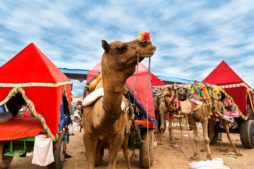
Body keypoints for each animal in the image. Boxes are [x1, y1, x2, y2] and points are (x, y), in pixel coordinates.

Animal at [82, 32, 156, 169]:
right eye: (121, 47)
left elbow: (112, 163)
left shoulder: (118, 136)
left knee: (127, 151)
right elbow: (90, 163)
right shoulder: (87, 135)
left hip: (127, 132)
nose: (147, 43)